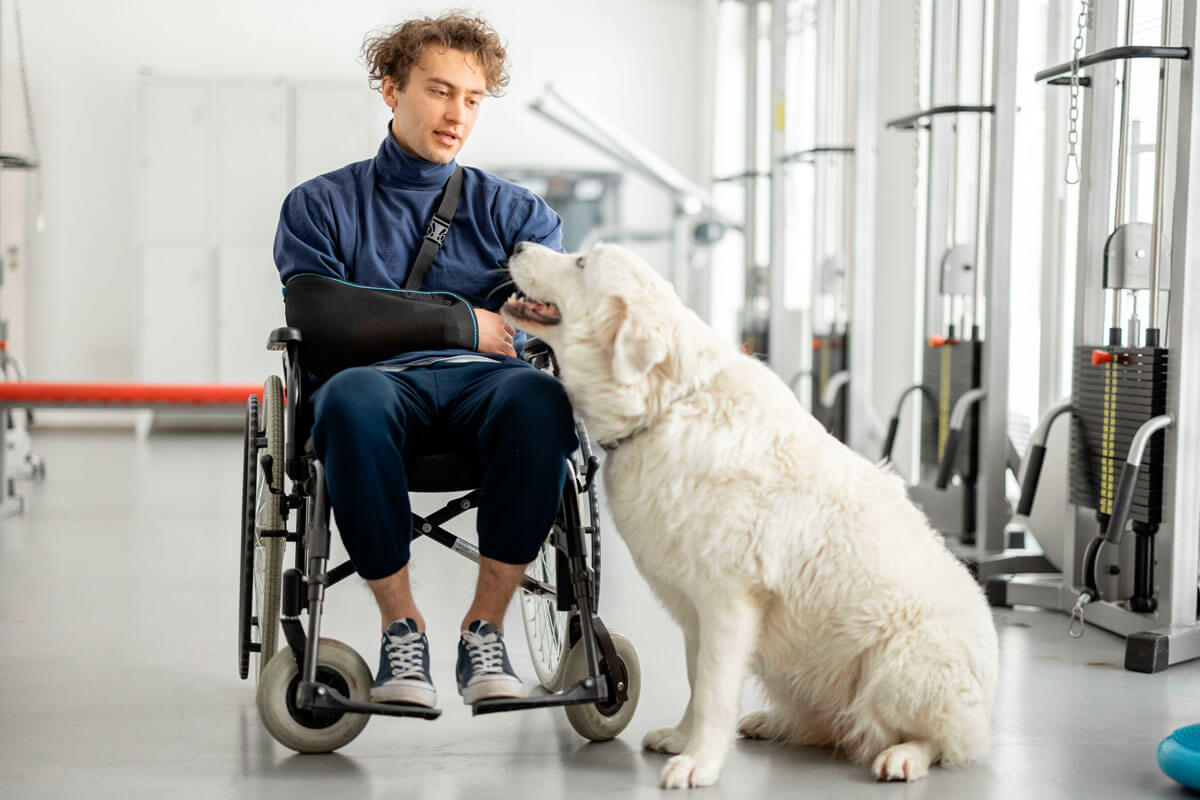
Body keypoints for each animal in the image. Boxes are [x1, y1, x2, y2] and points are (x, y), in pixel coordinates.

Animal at [501, 242, 998, 786]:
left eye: (582, 263)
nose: (518, 245)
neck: (667, 406)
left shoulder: (729, 602)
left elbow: (715, 689)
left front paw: (698, 763)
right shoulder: (694, 609)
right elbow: (697, 681)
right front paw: (682, 738)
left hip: (898, 665)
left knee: (941, 739)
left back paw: (903, 756)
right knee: (832, 727)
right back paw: (771, 722)